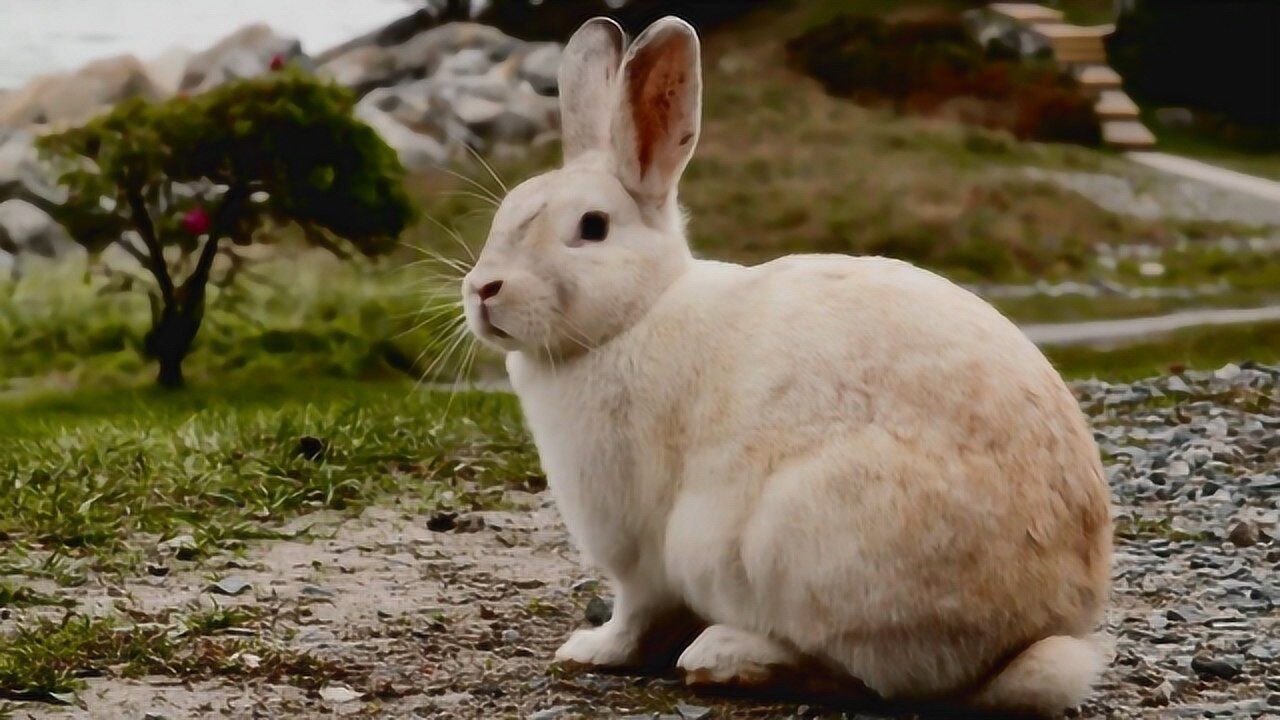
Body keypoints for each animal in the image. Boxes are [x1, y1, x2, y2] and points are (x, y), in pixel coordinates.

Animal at [463, 15, 1111, 712]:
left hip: (796, 541)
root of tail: (1033, 629)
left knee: (859, 676)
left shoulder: (640, 552)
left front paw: (590, 651)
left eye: (592, 227)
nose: (484, 289)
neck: (638, 311)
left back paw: (725, 658)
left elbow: (636, 616)